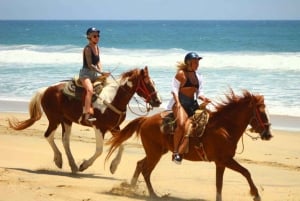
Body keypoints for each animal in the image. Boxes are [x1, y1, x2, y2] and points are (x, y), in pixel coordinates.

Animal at [8, 66, 162, 174]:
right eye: (148, 83)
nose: (158, 101)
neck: (113, 99)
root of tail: (46, 89)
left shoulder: (114, 127)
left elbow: (121, 144)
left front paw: (113, 166)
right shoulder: (99, 127)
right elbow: (99, 150)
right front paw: (84, 165)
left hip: (66, 121)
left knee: (65, 141)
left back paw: (72, 165)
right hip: (54, 119)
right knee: (48, 136)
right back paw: (59, 160)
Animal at [106, 90, 274, 201]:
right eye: (261, 112)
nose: (268, 134)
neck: (224, 127)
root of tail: (146, 120)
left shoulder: (221, 163)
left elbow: (220, 184)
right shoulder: (225, 160)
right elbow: (246, 172)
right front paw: (256, 194)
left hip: (157, 152)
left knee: (140, 164)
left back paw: (131, 188)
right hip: (154, 154)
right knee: (146, 170)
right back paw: (152, 194)